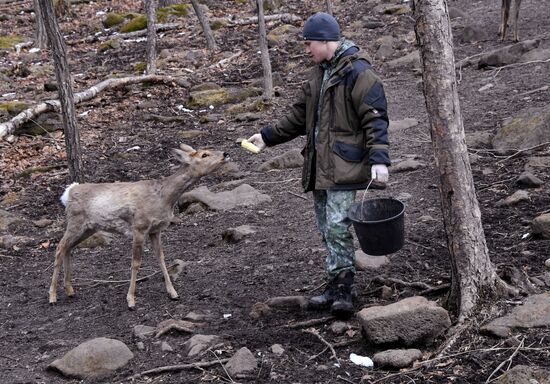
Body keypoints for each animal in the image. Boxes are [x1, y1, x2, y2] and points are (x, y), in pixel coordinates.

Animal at [48, 144, 227, 308]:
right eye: (204, 154)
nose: (225, 153)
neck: (164, 198)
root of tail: (69, 192)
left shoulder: (156, 230)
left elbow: (161, 257)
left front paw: (173, 293)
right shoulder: (139, 227)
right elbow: (135, 263)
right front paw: (131, 300)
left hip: (88, 228)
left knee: (68, 248)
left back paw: (70, 290)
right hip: (76, 222)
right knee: (60, 247)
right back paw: (52, 296)